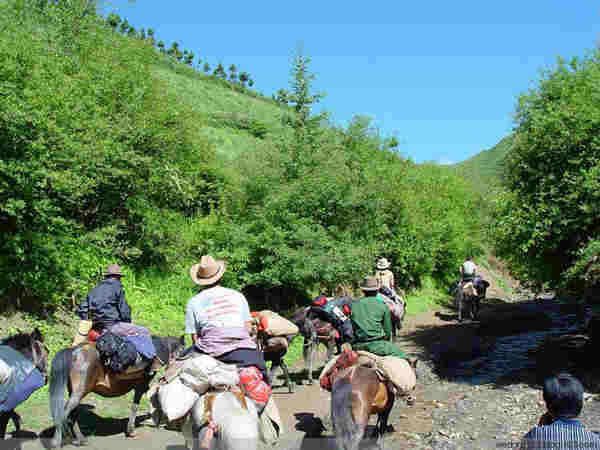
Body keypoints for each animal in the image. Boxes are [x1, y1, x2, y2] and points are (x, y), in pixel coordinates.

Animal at [48, 334, 184, 446]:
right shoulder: (141, 386)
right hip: (79, 393)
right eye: (183, 350)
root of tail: (74, 351)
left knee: (72, 414)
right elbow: (135, 406)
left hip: (76, 392)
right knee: (64, 413)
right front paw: (131, 431)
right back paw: (56, 441)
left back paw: (80, 439)